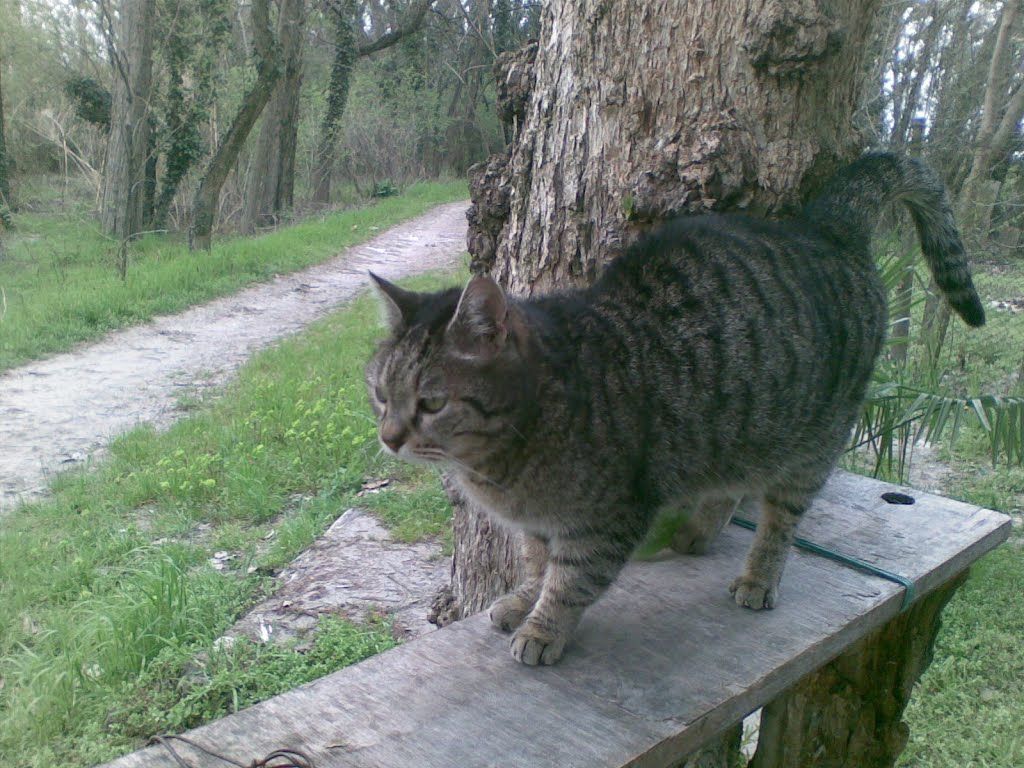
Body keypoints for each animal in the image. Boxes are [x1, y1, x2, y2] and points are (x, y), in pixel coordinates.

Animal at [366, 153, 983, 663]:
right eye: (380, 394)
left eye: (432, 402)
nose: (389, 438)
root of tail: (824, 227)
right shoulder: (538, 524)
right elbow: (538, 563)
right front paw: (523, 600)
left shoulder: (610, 516)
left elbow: (571, 580)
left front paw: (543, 628)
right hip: (737, 428)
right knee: (732, 482)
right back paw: (699, 531)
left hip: (812, 440)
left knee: (781, 518)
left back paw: (759, 577)